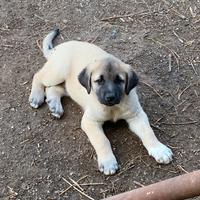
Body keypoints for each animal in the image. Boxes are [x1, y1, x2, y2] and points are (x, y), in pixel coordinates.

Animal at [28, 29, 173, 175]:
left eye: (119, 80)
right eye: (99, 81)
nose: (110, 97)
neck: (113, 108)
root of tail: (57, 49)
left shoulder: (136, 115)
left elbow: (148, 132)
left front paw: (159, 149)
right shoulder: (90, 122)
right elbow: (102, 140)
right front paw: (108, 162)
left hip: (67, 85)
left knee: (54, 89)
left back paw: (54, 105)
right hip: (57, 71)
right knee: (38, 76)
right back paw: (36, 97)